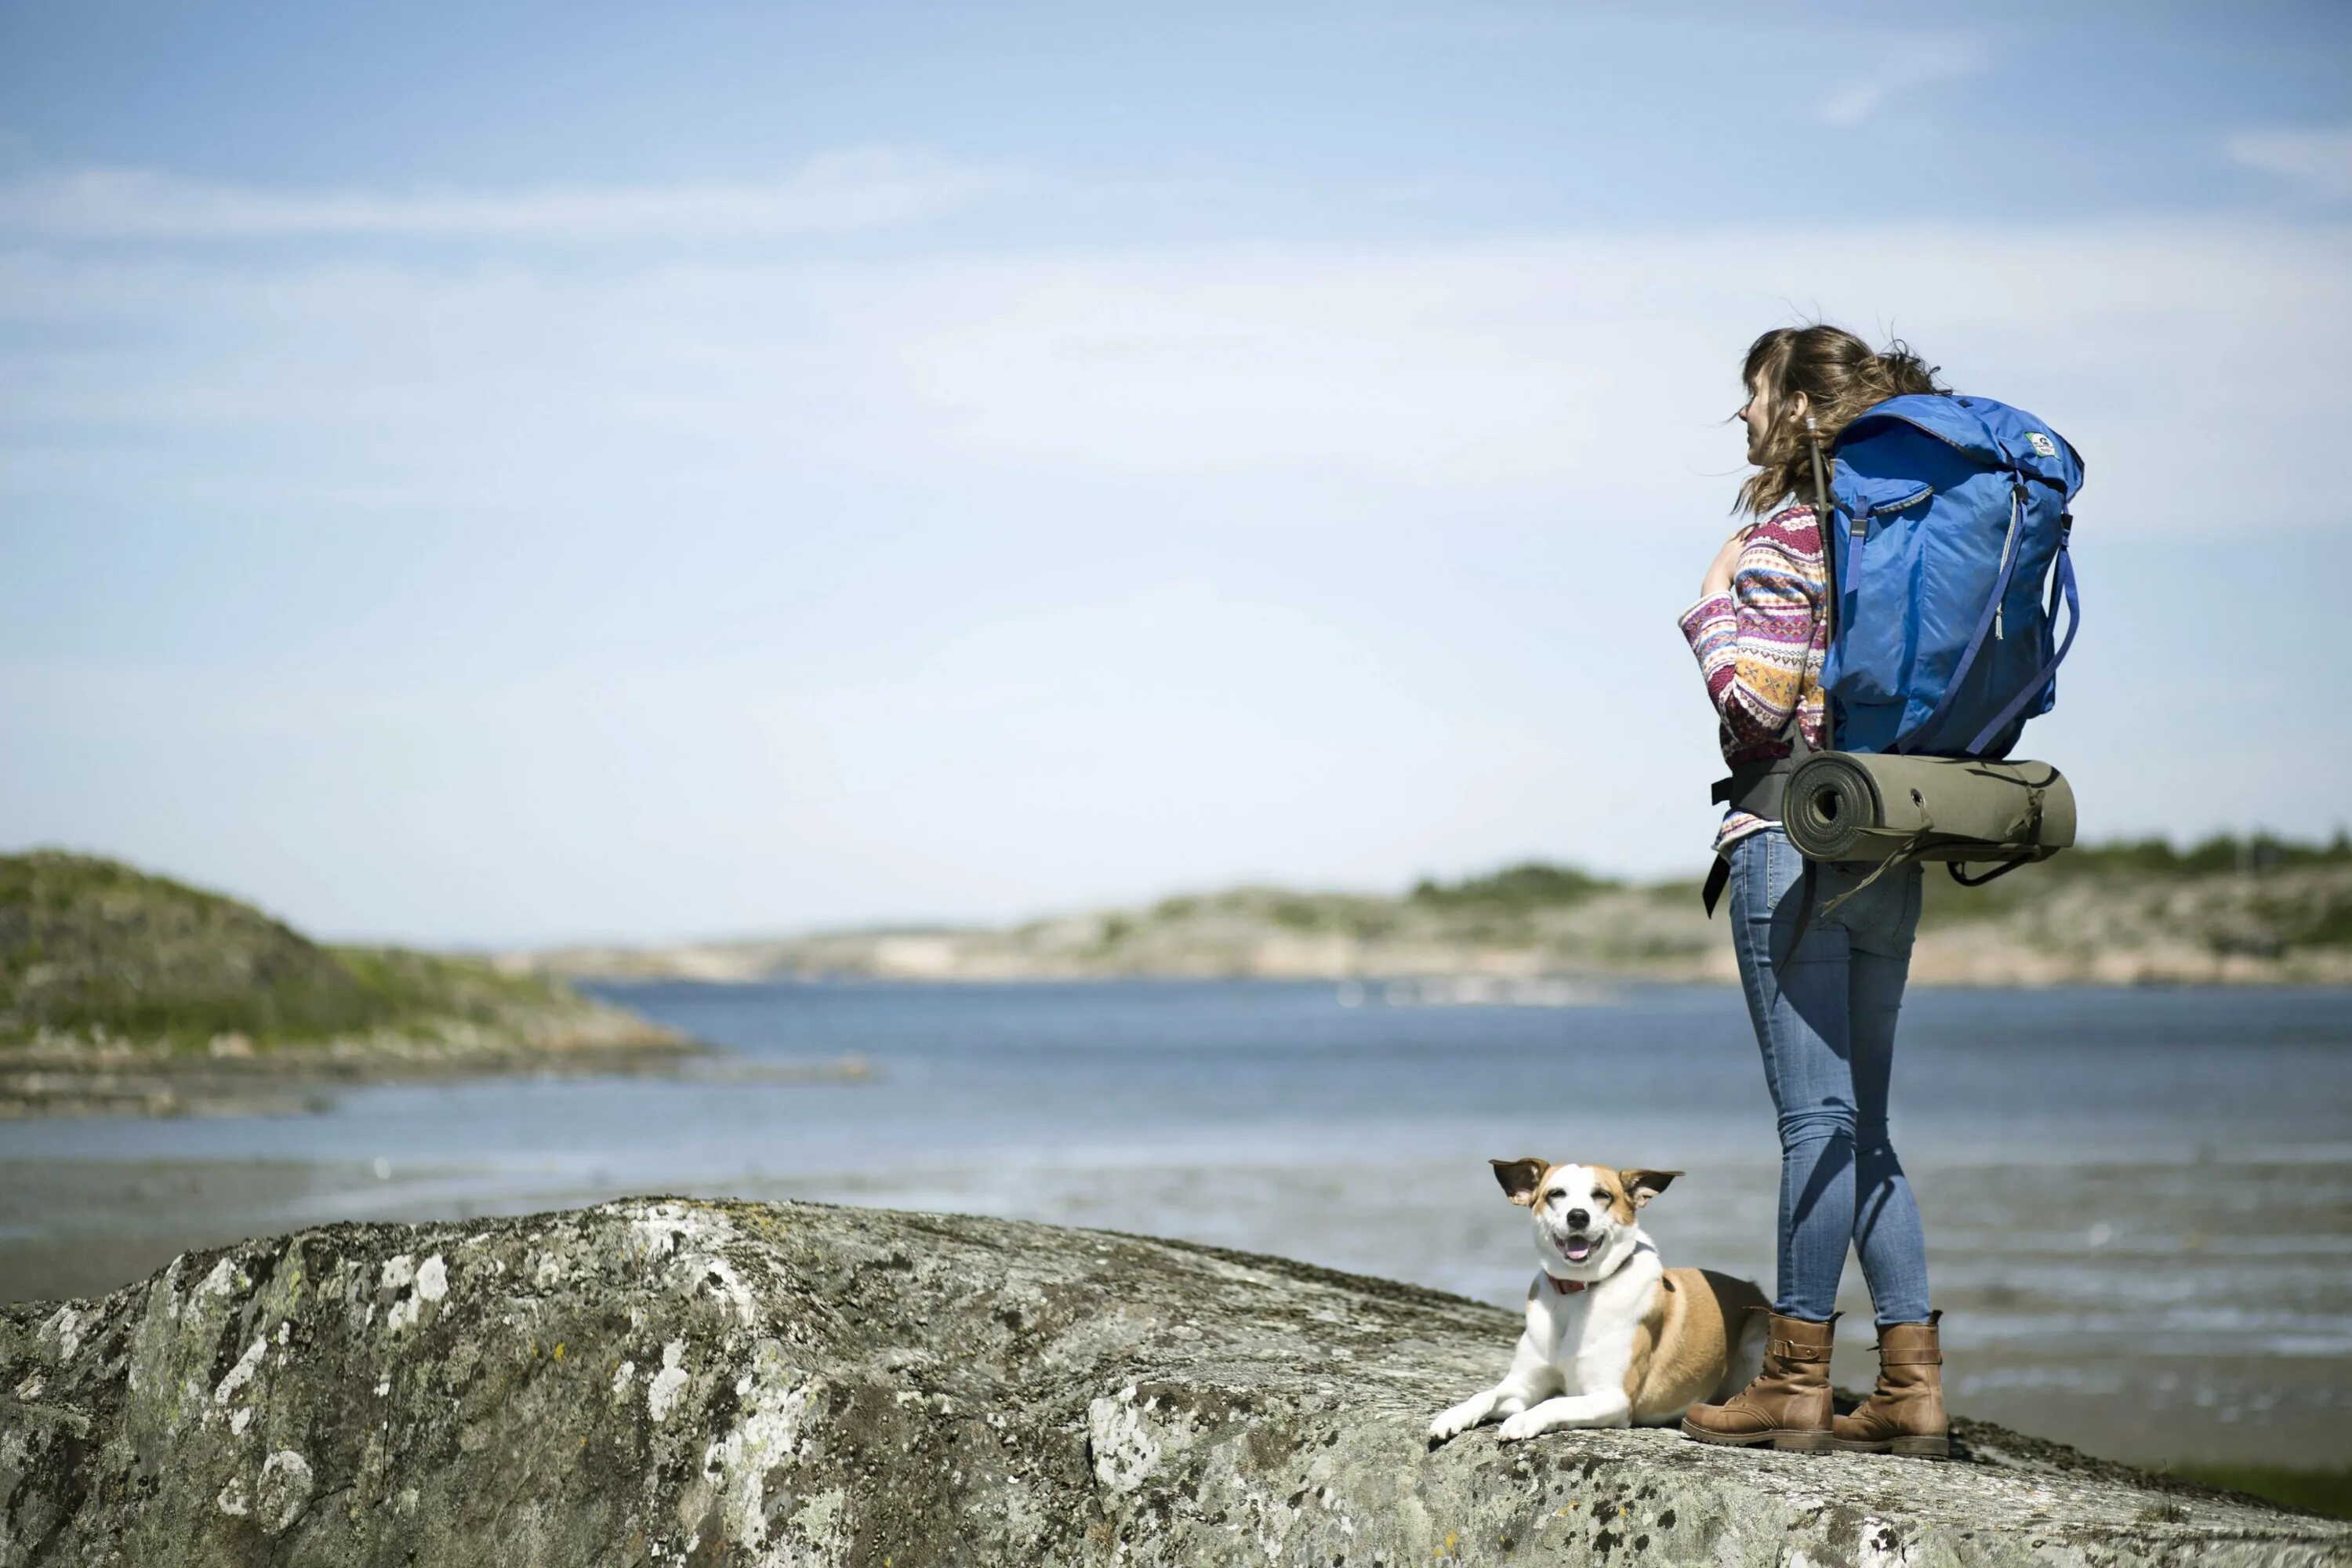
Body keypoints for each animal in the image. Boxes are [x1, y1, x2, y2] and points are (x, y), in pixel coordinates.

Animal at [1411, 1152, 1769, 1448]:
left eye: (1603, 1195)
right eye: (1556, 1194)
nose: (1578, 1216)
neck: (1577, 1291)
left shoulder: (1613, 1398)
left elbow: (1555, 1402)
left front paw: (1523, 1421)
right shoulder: (1523, 1385)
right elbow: (1486, 1394)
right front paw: (1453, 1415)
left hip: (1756, 1337)